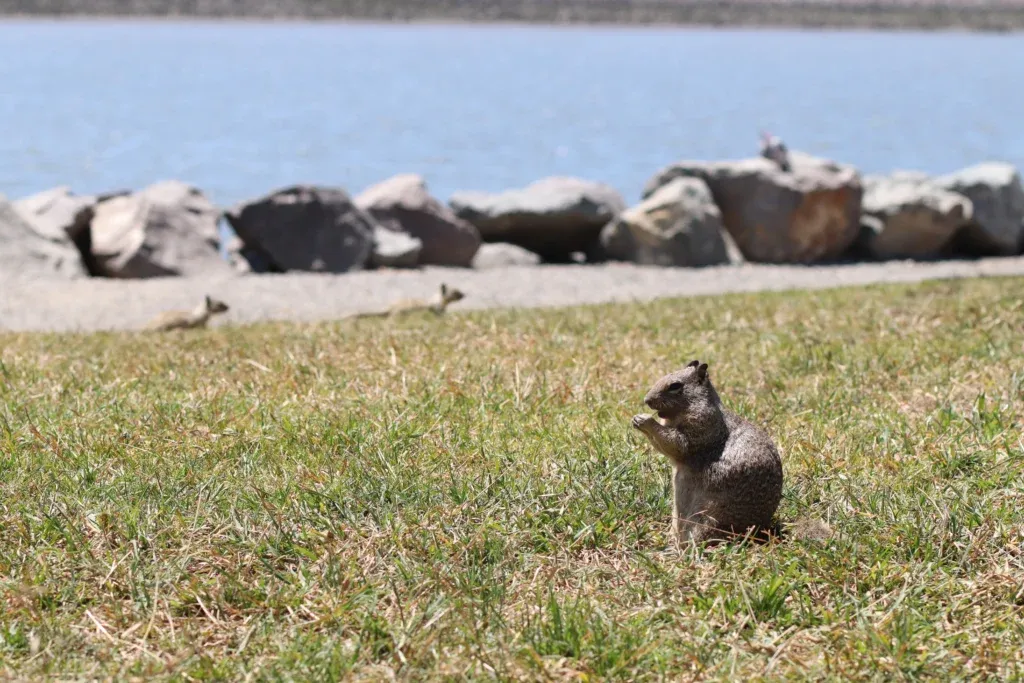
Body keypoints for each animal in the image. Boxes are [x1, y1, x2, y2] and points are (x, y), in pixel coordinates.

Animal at [632, 359, 828, 545]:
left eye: (675, 386)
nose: (646, 400)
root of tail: (761, 531)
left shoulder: (701, 428)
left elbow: (676, 444)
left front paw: (645, 420)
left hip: (708, 519)